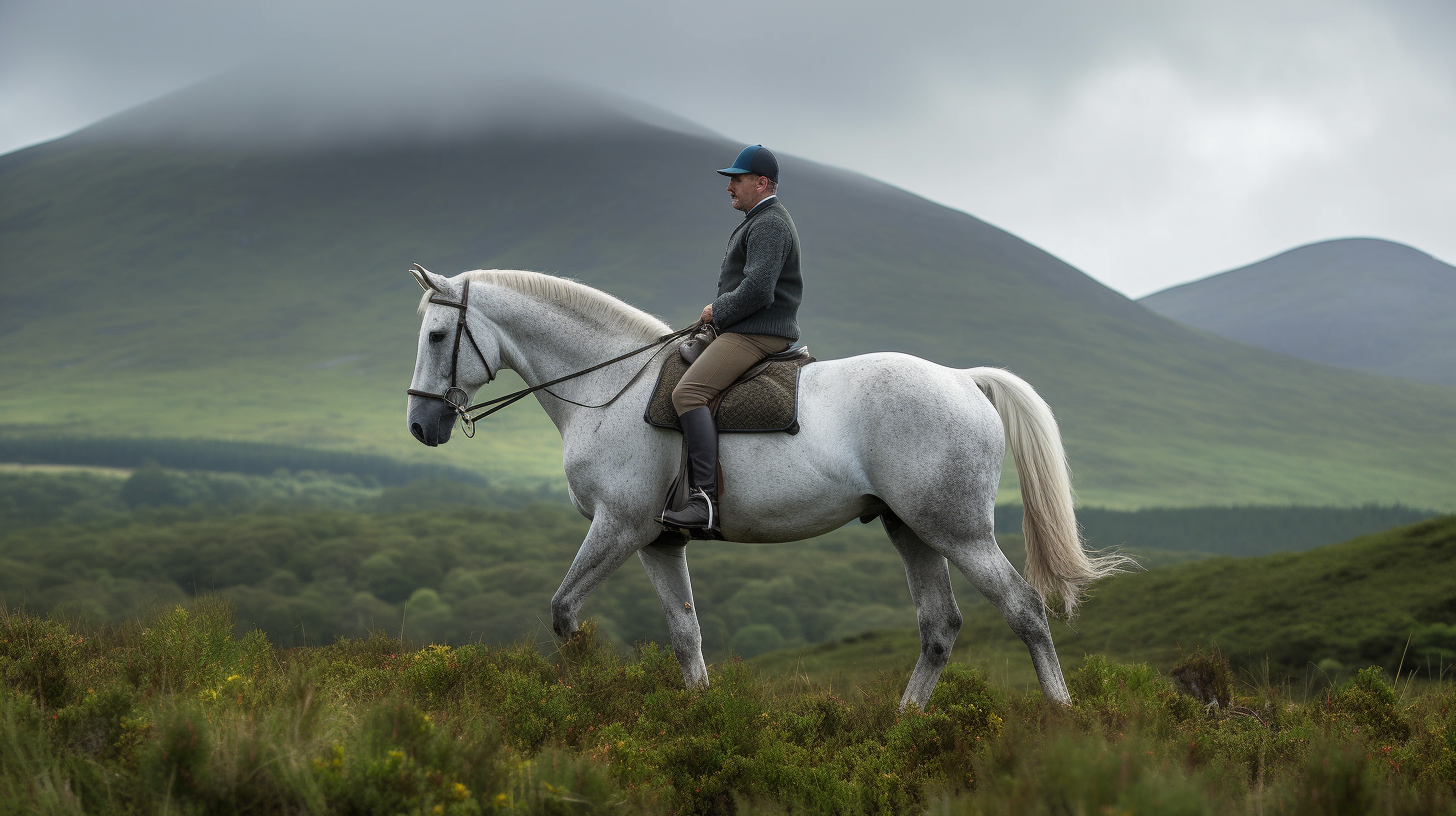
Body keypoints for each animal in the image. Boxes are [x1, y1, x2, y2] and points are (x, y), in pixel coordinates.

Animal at [404, 266, 1129, 708]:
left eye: (438, 335)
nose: (419, 424)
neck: (608, 386)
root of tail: (962, 379)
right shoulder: (658, 542)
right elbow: (685, 633)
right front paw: (700, 718)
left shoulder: (618, 526)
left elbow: (564, 611)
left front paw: (585, 692)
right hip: (910, 529)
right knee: (939, 626)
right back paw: (904, 725)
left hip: (958, 530)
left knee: (1024, 609)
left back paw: (1061, 715)